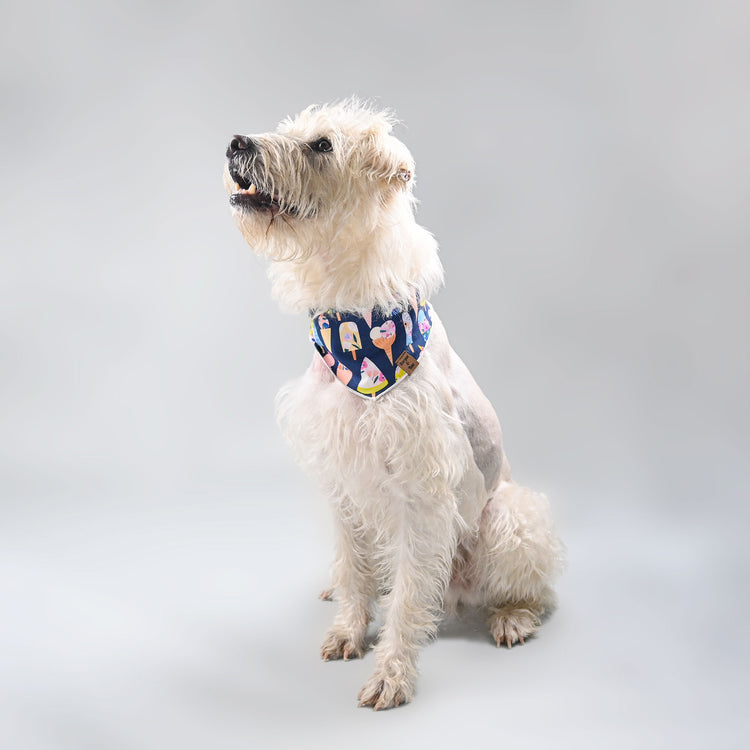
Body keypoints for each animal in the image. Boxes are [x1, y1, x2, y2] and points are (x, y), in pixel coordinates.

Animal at [223, 100, 564, 712]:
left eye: (322, 145)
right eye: (290, 132)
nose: (236, 142)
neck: (356, 331)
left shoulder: (422, 494)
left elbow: (408, 599)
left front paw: (393, 673)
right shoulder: (341, 476)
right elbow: (355, 567)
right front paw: (349, 628)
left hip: (510, 514)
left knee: (532, 588)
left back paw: (512, 616)